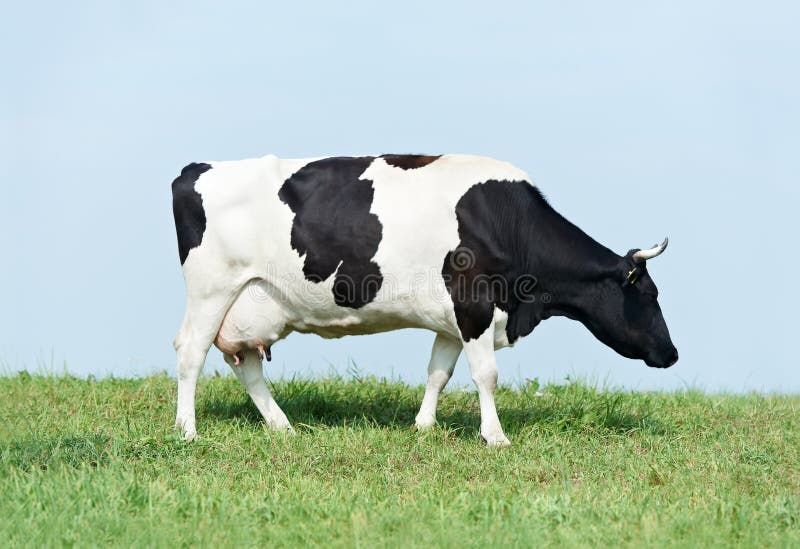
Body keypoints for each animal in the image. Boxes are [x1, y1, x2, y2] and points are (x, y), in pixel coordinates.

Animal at [171, 154, 677, 446]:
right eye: (650, 293)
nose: (672, 354)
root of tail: (196, 168)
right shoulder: (474, 303)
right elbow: (486, 375)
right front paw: (495, 437)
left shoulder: (452, 319)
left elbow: (439, 372)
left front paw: (424, 426)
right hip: (211, 288)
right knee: (190, 352)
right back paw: (187, 431)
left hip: (250, 304)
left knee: (246, 365)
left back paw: (283, 427)